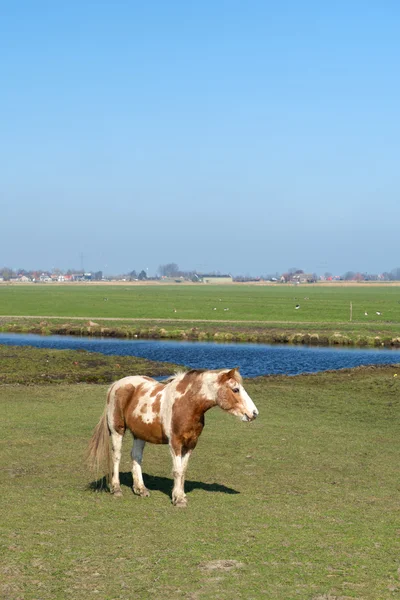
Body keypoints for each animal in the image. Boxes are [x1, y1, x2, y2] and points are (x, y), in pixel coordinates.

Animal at [86, 366, 260, 506]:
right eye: (236, 389)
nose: (254, 413)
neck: (187, 404)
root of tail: (116, 384)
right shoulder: (175, 443)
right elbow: (177, 470)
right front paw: (178, 499)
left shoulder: (191, 444)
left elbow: (183, 470)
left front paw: (180, 495)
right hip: (117, 430)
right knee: (116, 456)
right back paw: (116, 488)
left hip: (140, 434)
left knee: (136, 456)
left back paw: (141, 489)